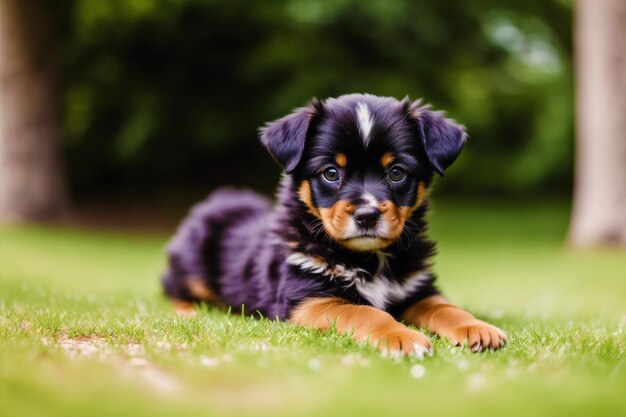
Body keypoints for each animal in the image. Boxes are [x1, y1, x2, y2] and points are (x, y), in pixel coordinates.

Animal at [161, 94, 502, 358]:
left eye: (396, 172)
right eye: (330, 172)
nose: (367, 215)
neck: (370, 258)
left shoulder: (416, 288)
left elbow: (443, 306)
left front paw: (476, 327)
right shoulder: (309, 300)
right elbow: (365, 311)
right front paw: (402, 337)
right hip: (191, 263)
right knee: (174, 289)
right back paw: (190, 311)